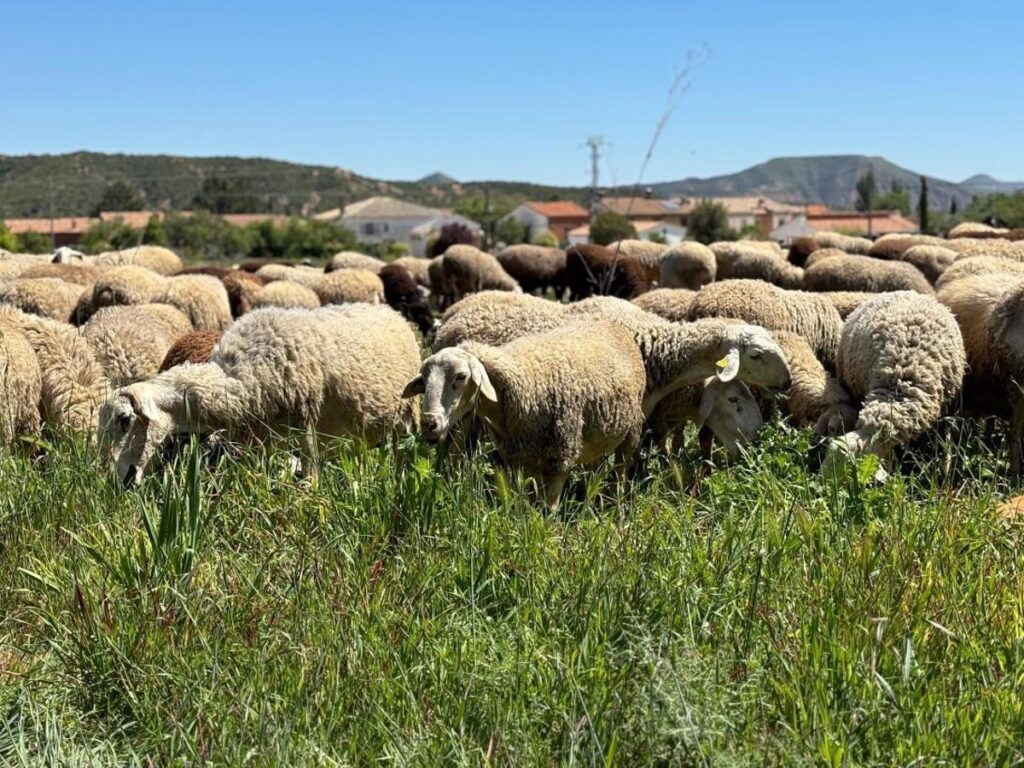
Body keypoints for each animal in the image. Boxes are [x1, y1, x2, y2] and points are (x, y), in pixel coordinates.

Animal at [95, 303, 415, 487]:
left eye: (125, 419)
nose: (118, 480)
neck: (237, 377)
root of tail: (391, 312)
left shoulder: (307, 424)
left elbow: (311, 479)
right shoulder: (263, 442)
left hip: (404, 417)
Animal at [403, 321, 643, 507]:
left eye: (462, 376)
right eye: (424, 379)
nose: (429, 423)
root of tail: (614, 325)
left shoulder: (561, 457)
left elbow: (548, 510)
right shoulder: (521, 460)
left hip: (631, 432)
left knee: (621, 473)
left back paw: (617, 508)